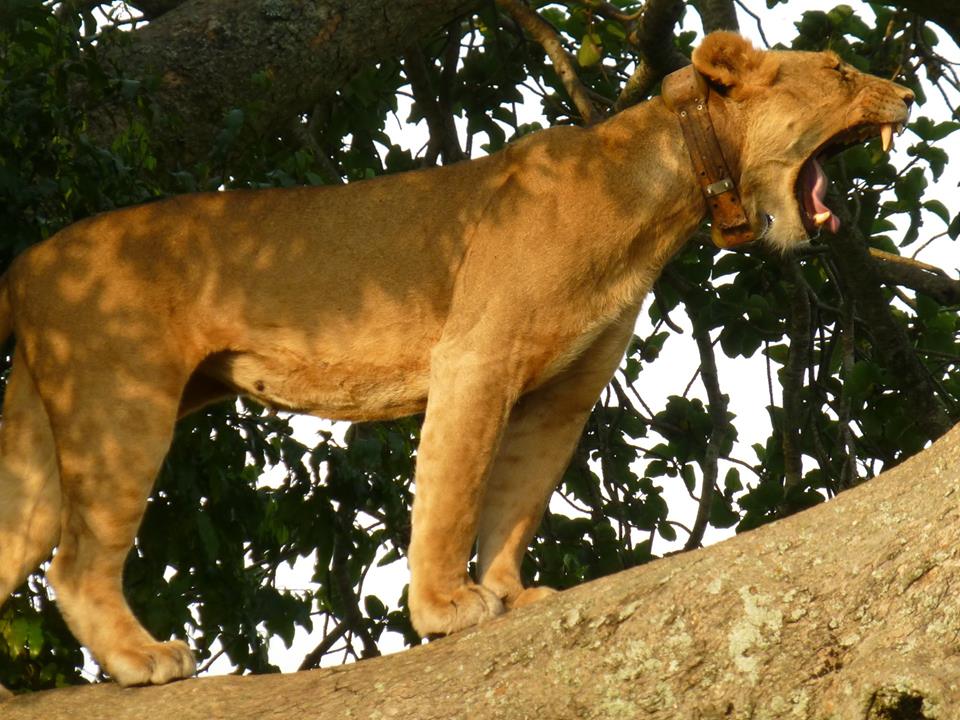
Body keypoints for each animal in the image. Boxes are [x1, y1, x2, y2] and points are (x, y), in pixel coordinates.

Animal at [0, 31, 912, 693]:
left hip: (38, 444)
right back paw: (142, 660)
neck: (665, 186)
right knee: (77, 564)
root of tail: (30, 260)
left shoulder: (562, 392)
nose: (907, 96)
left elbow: (516, 496)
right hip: (122, 402)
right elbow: (454, 490)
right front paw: (445, 608)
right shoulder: (476, 355)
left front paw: (513, 591)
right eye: (836, 69)